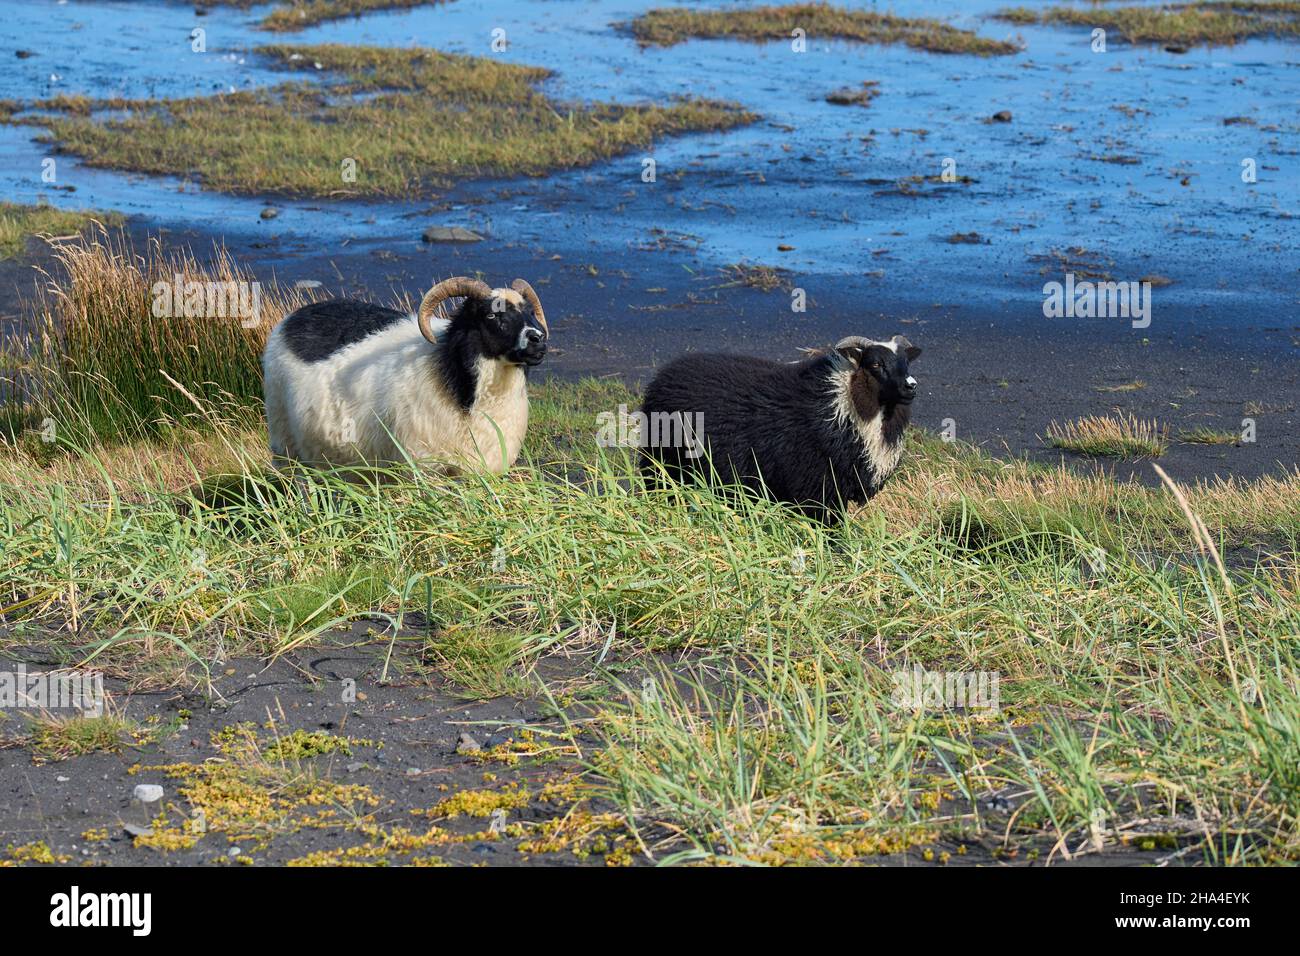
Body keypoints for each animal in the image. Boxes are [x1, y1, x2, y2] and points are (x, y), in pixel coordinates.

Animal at [262, 276, 548, 474]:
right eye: (491, 315)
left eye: (530, 312)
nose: (538, 340)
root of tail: (291, 318)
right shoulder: (424, 467)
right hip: (286, 445)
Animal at [639, 334, 921, 523]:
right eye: (875, 364)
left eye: (906, 363)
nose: (911, 386)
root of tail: (664, 375)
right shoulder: (816, 492)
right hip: (662, 465)